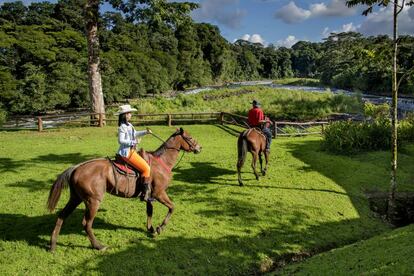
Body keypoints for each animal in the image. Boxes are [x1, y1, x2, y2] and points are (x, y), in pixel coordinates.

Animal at [46, 127, 201, 250]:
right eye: (190, 137)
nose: (199, 148)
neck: (162, 162)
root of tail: (76, 168)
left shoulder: (150, 196)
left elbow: (149, 212)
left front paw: (151, 229)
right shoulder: (159, 193)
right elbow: (172, 207)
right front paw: (159, 228)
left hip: (76, 198)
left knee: (61, 216)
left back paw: (53, 245)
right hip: (93, 201)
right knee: (86, 224)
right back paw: (98, 246)